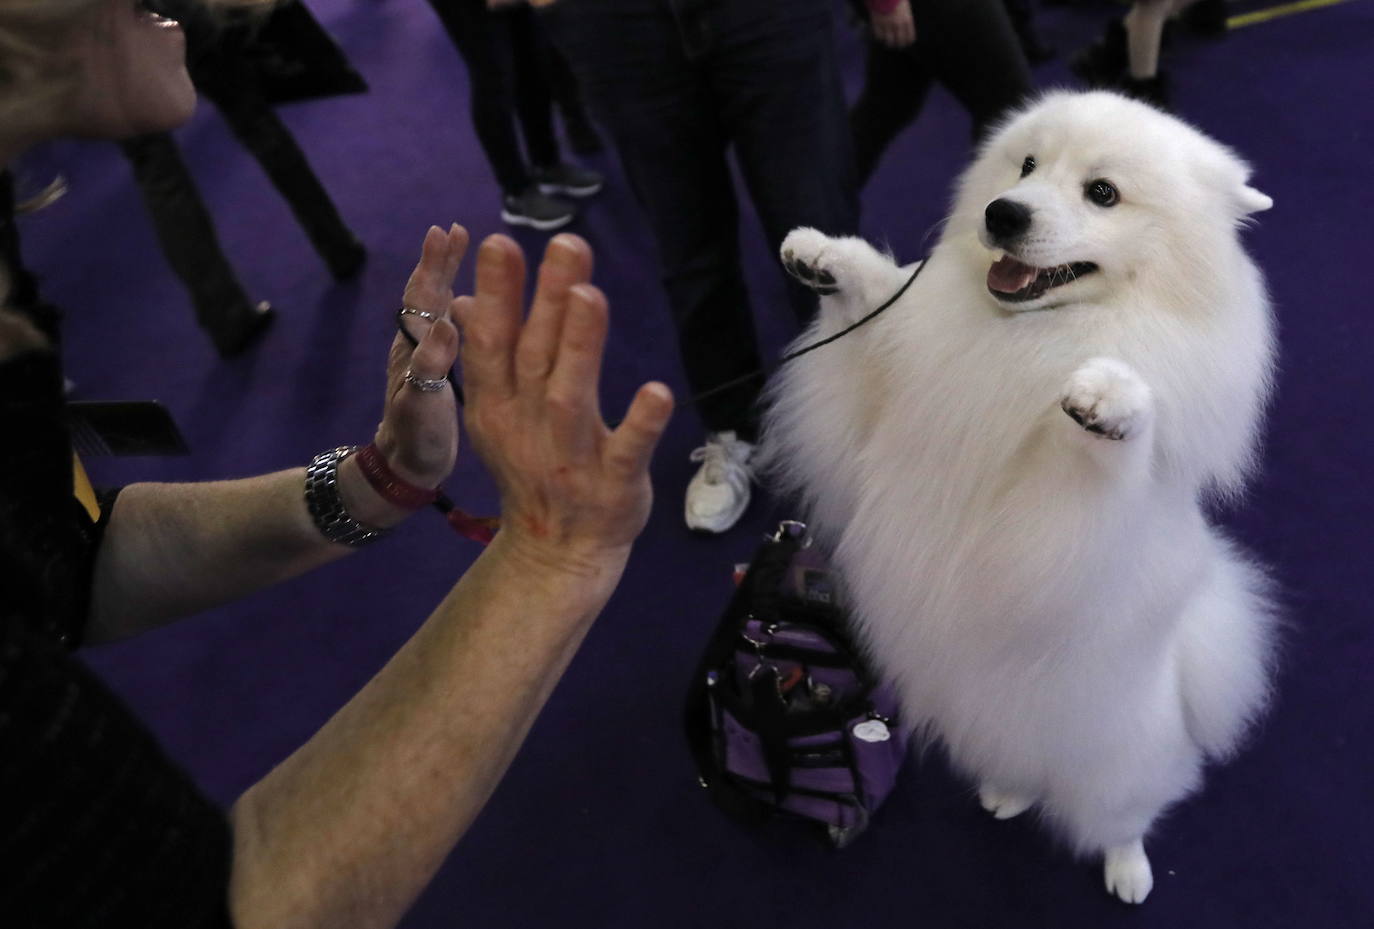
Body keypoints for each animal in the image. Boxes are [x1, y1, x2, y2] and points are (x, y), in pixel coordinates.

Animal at [763, 90, 1275, 901]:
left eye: (1103, 192)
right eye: (1027, 165)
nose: (1003, 213)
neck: (1021, 335)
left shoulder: (1063, 525)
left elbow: (1108, 451)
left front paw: (1111, 397)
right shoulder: (869, 417)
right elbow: (871, 317)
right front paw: (828, 257)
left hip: (1118, 764)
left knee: (1127, 817)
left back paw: (1129, 872)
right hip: (1000, 728)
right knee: (1024, 770)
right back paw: (1009, 792)